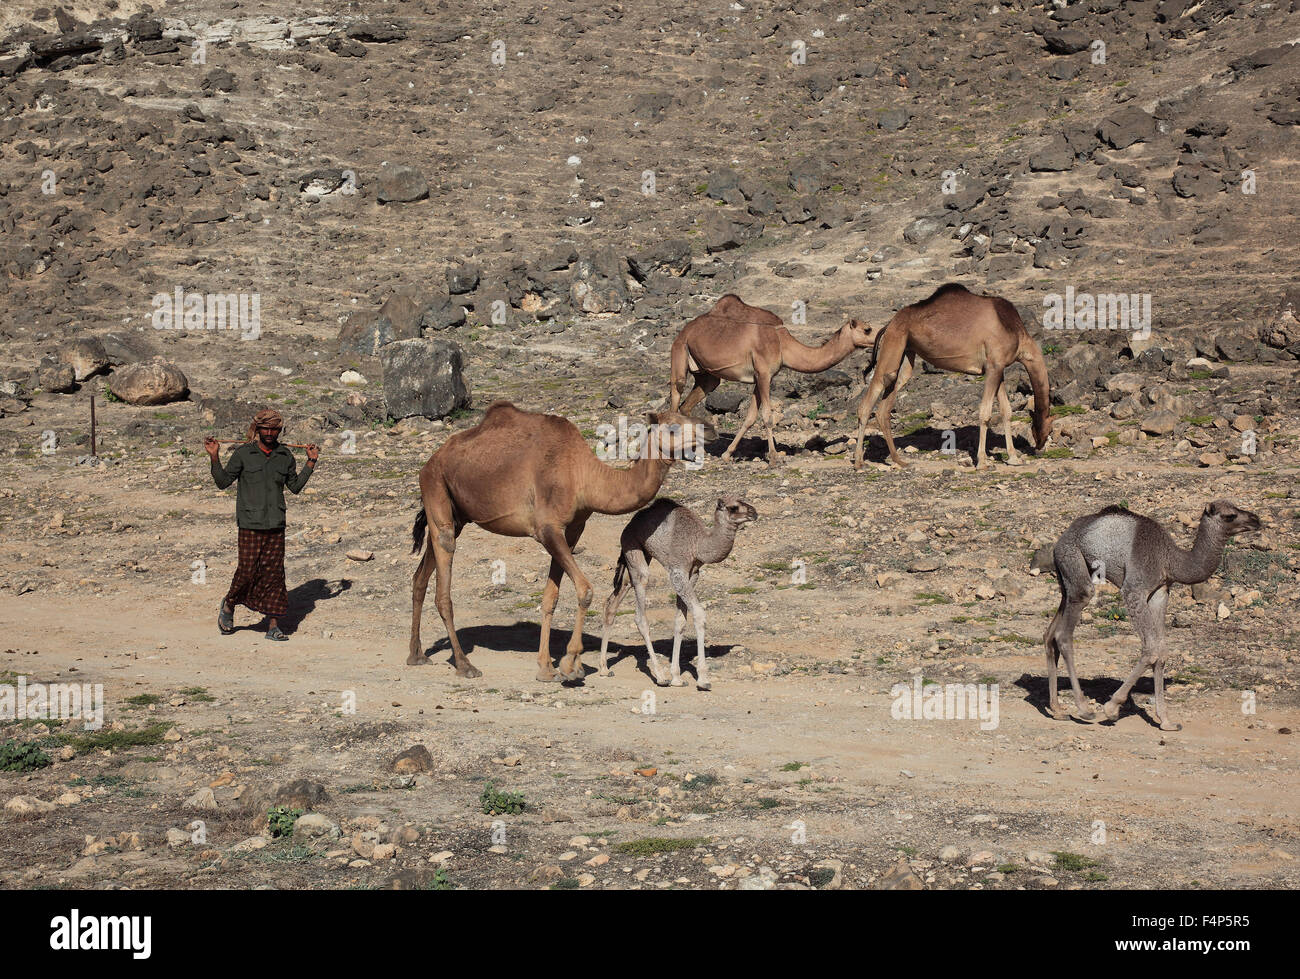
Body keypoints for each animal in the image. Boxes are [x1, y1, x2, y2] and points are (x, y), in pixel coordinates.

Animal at [408, 397, 707, 681]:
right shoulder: (547, 529)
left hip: (456, 513)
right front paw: (570, 665)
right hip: (435, 487)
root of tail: (429, 463)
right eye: (673, 427)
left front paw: (545, 668)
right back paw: (464, 664)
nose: (709, 431)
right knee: (443, 580)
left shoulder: (573, 529)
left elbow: (550, 597)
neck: (583, 475)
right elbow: (585, 590)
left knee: (420, 576)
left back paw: (416, 655)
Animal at [595, 496, 759, 686]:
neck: (698, 543)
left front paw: (677, 678)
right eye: (733, 507)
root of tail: (629, 524)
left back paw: (604, 668)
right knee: (640, 606)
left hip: (638, 556)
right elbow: (699, 613)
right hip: (632, 544)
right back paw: (660, 676)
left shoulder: (693, 573)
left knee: (614, 599)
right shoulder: (677, 571)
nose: (754, 512)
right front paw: (703, 679)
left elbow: (680, 621)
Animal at [670, 293, 883, 462]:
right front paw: (774, 458)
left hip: (707, 375)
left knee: (687, 405)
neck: (782, 343)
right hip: (680, 349)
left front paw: (727, 454)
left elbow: (750, 417)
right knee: (676, 395)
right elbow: (767, 416)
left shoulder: (761, 377)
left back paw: (695, 451)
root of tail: (685, 329)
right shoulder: (764, 373)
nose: (880, 335)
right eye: (867, 329)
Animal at [847, 282, 1050, 470]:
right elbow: (985, 413)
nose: (1040, 446)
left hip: (905, 352)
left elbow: (1006, 411)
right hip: (894, 342)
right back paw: (858, 462)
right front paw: (982, 462)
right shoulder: (994, 366)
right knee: (870, 398)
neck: (1015, 331)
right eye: (1049, 427)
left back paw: (899, 460)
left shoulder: (998, 368)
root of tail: (889, 324)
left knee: (885, 406)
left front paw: (1014, 458)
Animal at [1045, 499, 1258, 728]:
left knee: (1050, 634)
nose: (1256, 519)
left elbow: (1162, 651)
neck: (1170, 559)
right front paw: (1112, 708)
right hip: (1073, 561)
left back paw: (1057, 710)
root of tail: (1062, 537)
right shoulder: (1134, 590)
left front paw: (1166, 721)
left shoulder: (1160, 592)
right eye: (1230, 515)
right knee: (1064, 632)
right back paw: (1084, 709)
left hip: (1066, 578)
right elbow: (1151, 650)